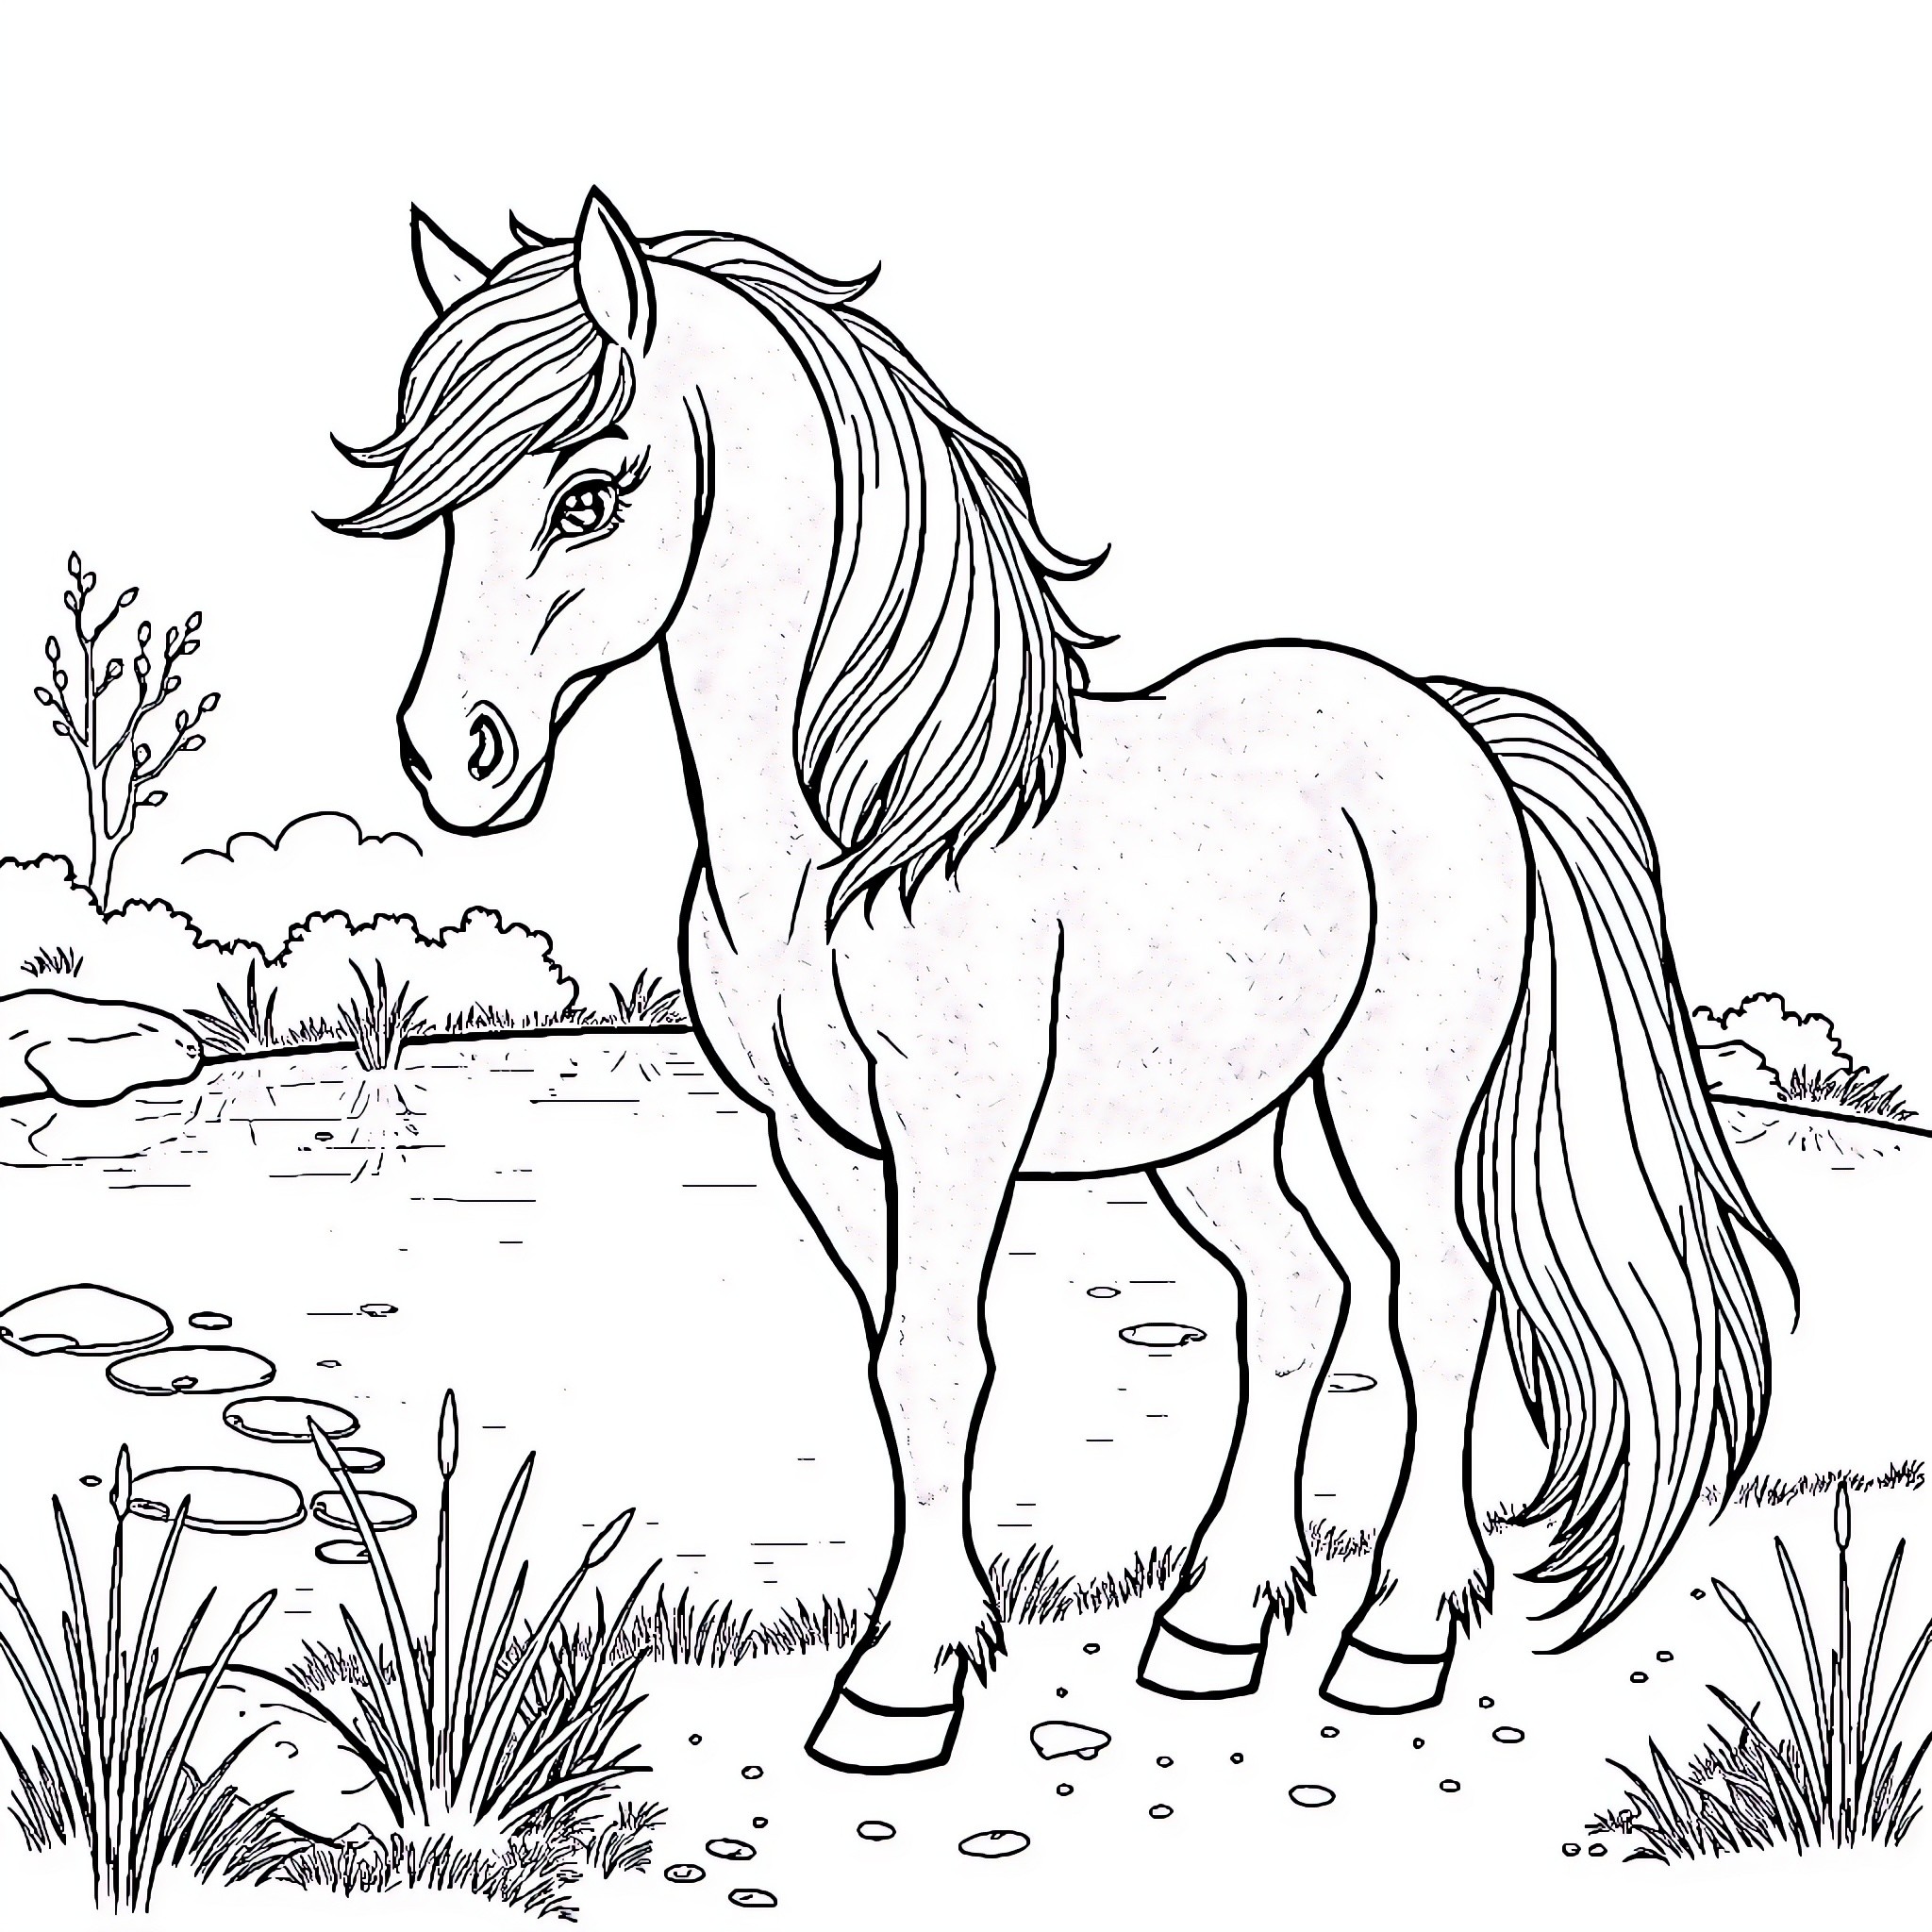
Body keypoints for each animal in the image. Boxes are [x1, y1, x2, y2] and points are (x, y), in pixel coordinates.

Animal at [332, 188, 1791, 1774]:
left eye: (589, 495)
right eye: (447, 512)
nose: (450, 759)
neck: (874, 820)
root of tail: (1452, 728)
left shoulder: (952, 1124)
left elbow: (939, 1360)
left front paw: (901, 1682)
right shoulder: (822, 1143)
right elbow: (895, 1368)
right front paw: (933, 1644)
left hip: (1394, 1100)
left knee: (1439, 1299)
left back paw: (1397, 1634)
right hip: (1221, 1127)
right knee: (1297, 1292)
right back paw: (1215, 1623)